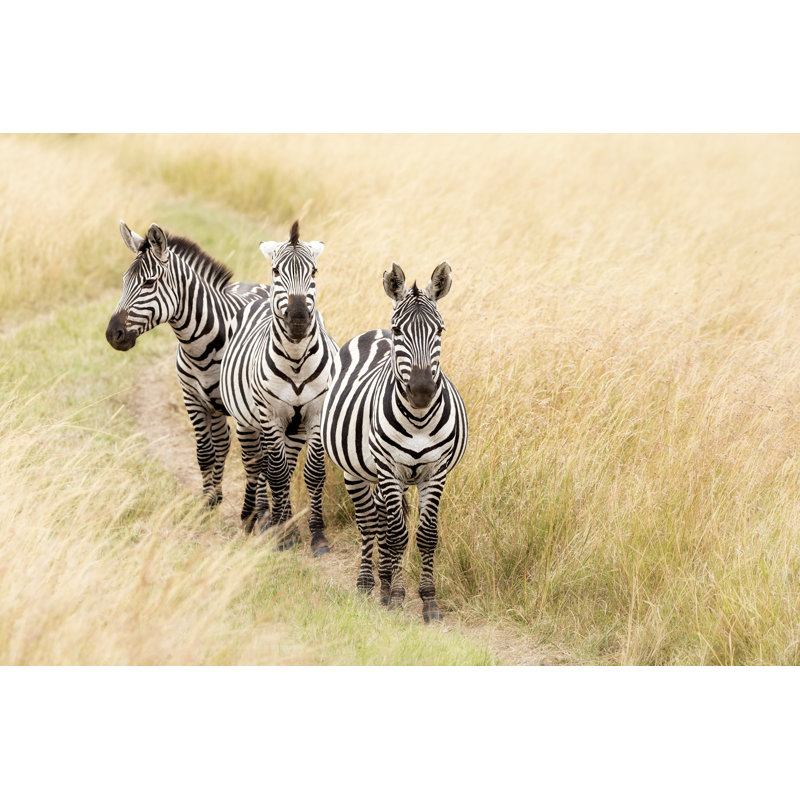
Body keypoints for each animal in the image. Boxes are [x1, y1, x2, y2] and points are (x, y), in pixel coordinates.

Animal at [106, 221, 269, 508]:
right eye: (124, 282)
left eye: (149, 283)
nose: (113, 334)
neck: (200, 349)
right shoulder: (192, 399)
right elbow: (204, 452)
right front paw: (207, 502)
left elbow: (253, 458)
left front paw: (256, 511)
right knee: (223, 441)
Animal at [220, 221, 337, 555]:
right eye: (276, 271)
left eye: (314, 271)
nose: (297, 319)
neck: (296, 359)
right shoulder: (270, 415)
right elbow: (277, 473)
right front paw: (284, 534)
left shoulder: (316, 413)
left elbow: (312, 473)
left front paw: (316, 535)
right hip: (248, 421)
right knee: (256, 464)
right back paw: (254, 518)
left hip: (293, 429)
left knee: (280, 462)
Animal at [321, 261, 468, 622]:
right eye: (400, 331)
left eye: (440, 330)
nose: (422, 391)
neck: (418, 419)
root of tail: (375, 332)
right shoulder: (389, 469)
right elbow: (397, 534)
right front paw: (399, 598)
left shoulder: (435, 472)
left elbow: (426, 536)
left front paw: (429, 602)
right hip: (358, 472)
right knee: (369, 522)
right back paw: (367, 585)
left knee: (383, 519)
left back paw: (384, 584)